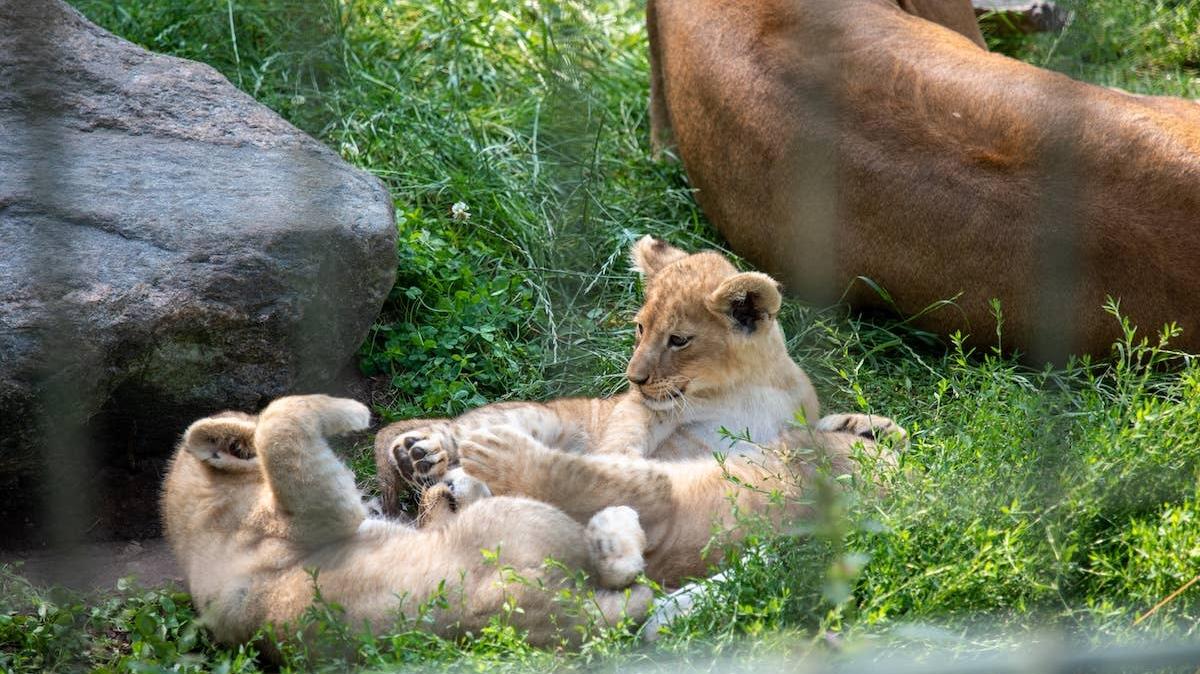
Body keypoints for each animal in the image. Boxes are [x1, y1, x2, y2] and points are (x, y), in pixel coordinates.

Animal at [160, 394, 652, 650]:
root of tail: (559, 607)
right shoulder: (313, 514)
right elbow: (278, 423)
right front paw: (354, 412)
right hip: (518, 520)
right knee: (620, 573)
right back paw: (615, 524)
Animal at [374, 236, 823, 514]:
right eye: (640, 328)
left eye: (678, 340)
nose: (634, 378)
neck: (742, 388)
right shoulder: (643, 410)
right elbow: (625, 436)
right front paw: (612, 463)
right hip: (538, 416)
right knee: (462, 430)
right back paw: (420, 454)